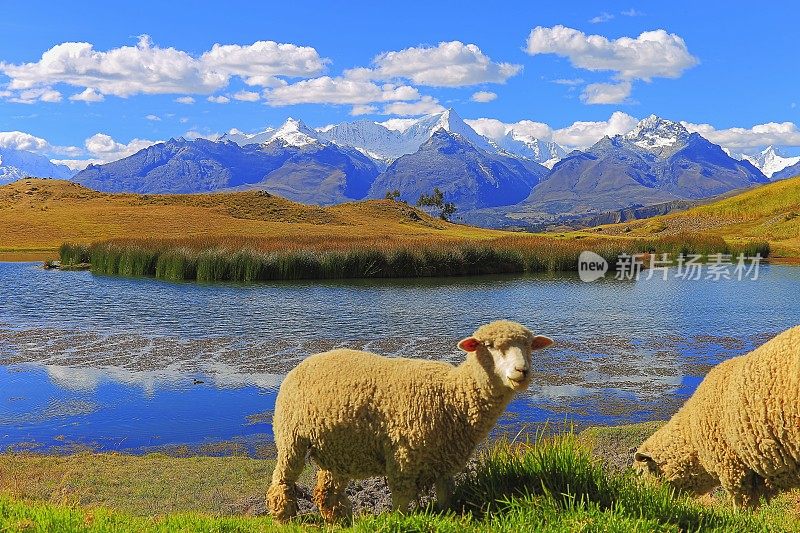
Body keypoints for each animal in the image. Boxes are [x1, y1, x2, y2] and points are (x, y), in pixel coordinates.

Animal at [266, 320, 552, 520]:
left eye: (529, 345)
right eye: (489, 346)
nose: (522, 371)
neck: (452, 394)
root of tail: (305, 362)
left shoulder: (444, 461)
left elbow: (446, 498)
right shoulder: (403, 456)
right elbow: (402, 501)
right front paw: (400, 521)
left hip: (339, 450)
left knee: (327, 491)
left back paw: (339, 521)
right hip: (291, 438)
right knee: (282, 481)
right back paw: (284, 517)